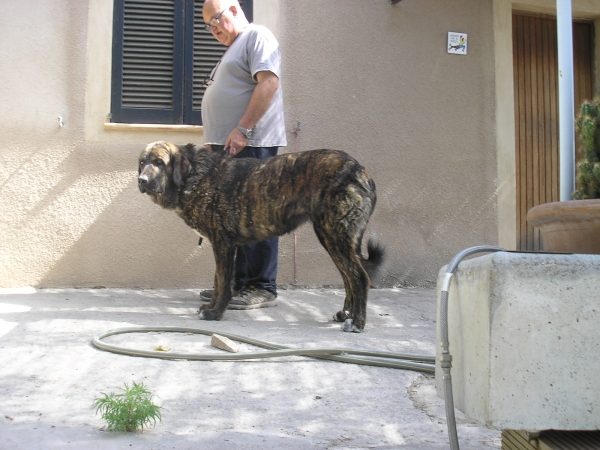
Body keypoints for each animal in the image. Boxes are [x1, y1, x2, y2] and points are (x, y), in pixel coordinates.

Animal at [137, 142, 384, 332]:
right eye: (141, 162)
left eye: (159, 162)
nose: (141, 180)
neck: (194, 176)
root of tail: (360, 169)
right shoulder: (224, 245)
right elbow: (218, 281)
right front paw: (211, 308)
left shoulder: (222, 244)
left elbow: (223, 283)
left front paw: (215, 313)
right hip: (331, 238)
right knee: (349, 279)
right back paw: (345, 314)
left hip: (335, 236)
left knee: (360, 279)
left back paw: (358, 323)